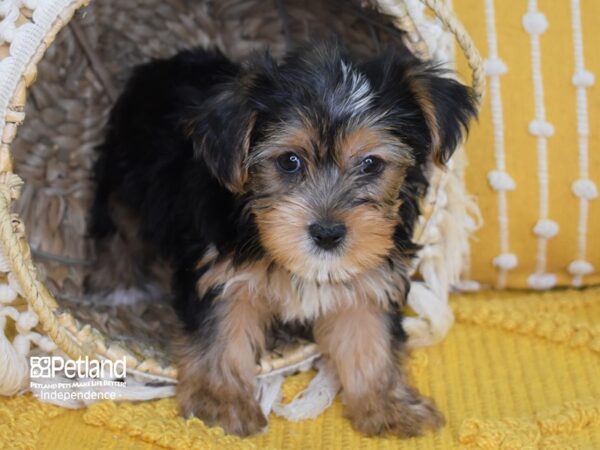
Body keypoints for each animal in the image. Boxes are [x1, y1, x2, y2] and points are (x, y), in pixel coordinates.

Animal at [86, 41, 476, 436]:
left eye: (371, 164)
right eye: (289, 161)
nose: (327, 233)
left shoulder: (371, 274)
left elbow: (370, 338)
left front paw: (390, 406)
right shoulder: (220, 271)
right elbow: (222, 334)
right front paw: (221, 402)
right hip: (123, 173)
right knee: (117, 228)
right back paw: (113, 287)